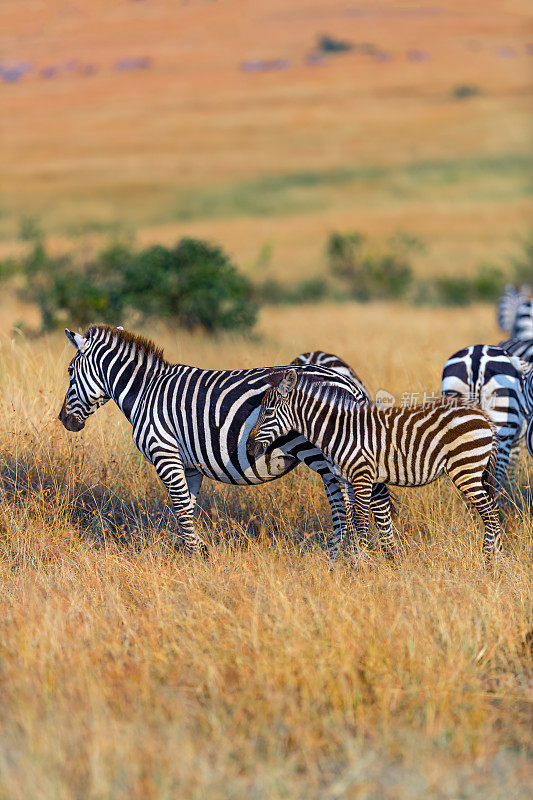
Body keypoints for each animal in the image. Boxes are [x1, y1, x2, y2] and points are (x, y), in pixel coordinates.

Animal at [58, 324, 392, 556]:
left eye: (70, 371)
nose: (64, 420)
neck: (145, 392)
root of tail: (347, 381)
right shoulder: (188, 463)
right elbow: (188, 506)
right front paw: (193, 551)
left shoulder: (164, 452)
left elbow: (179, 507)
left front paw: (196, 555)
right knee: (360, 498)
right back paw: (375, 553)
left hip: (328, 453)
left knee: (352, 500)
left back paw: (349, 554)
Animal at [247, 372, 500, 560]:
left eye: (268, 412)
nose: (249, 447)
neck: (340, 430)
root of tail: (482, 415)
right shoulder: (348, 479)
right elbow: (351, 520)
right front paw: (354, 561)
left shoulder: (362, 476)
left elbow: (360, 522)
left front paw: (361, 564)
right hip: (473, 470)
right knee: (493, 512)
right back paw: (495, 559)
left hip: (465, 469)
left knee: (490, 515)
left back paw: (488, 561)